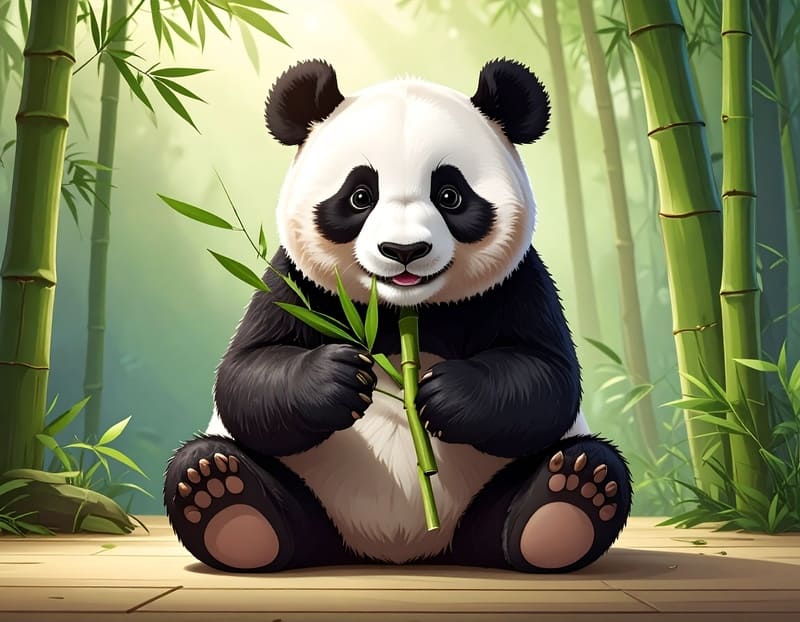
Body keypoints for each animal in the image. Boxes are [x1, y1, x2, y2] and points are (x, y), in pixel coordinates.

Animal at [164, 58, 631, 574]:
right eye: (359, 196)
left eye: (450, 195)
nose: (404, 251)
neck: (402, 313)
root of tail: (398, 548)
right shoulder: (294, 284)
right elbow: (246, 374)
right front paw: (340, 376)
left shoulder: (519, 285)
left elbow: (546, 376)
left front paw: (444, 392)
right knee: (221, 469)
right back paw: (223, 497)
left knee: (571, 469)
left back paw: (570, 500)